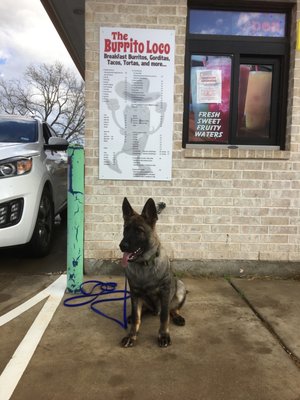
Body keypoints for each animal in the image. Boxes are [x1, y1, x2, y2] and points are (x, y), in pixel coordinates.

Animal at [119, 197, 185, 346]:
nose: (122, 246)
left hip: (180, 287)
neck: (144, 264)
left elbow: (164, 317)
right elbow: (137, 317)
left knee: (173, 309)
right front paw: (132, 335)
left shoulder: (165, 292)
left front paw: (163, 335)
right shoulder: (135, 294)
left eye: (139, 231)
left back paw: (177, 316)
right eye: (126, 229)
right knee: (141, 311)